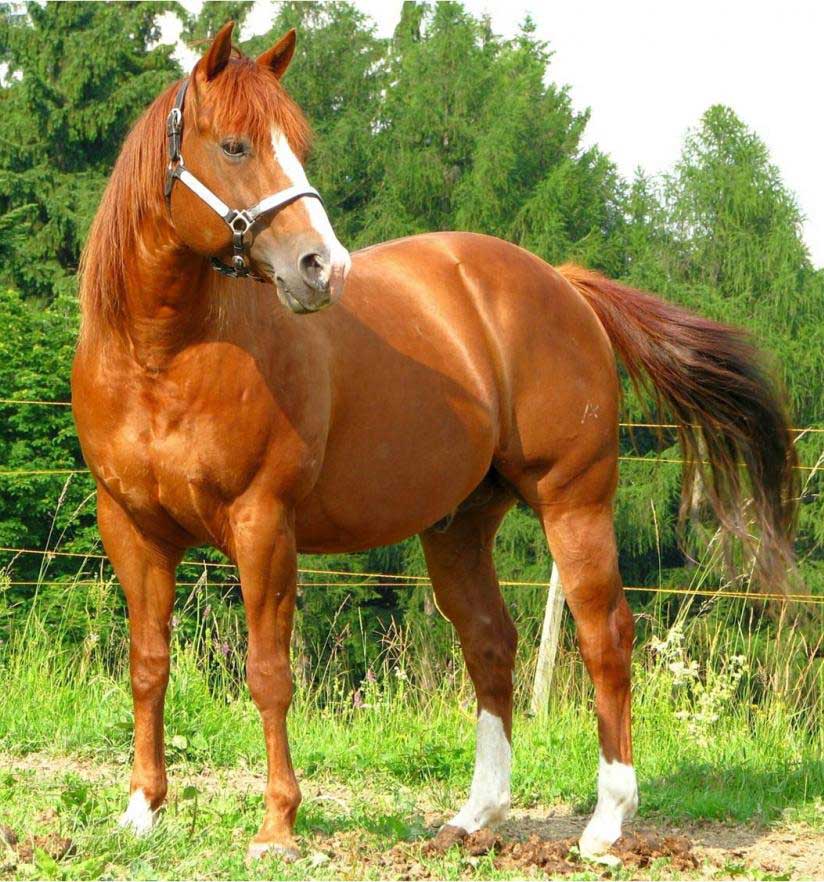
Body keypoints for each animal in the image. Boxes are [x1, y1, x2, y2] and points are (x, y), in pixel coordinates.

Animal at [72, 22, 798, 862]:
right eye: (234, 146)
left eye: (298, 144)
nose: (321, 267)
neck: (166, 356)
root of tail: (562, 283)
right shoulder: (133, 529)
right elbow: (147, 665)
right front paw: (140, 812)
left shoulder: (263, 526)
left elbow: (269, 672)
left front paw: (277, 826)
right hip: (459, 526)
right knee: (491, 643)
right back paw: (476, 817)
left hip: (573, 504)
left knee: (604, 636)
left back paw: (606, 821)